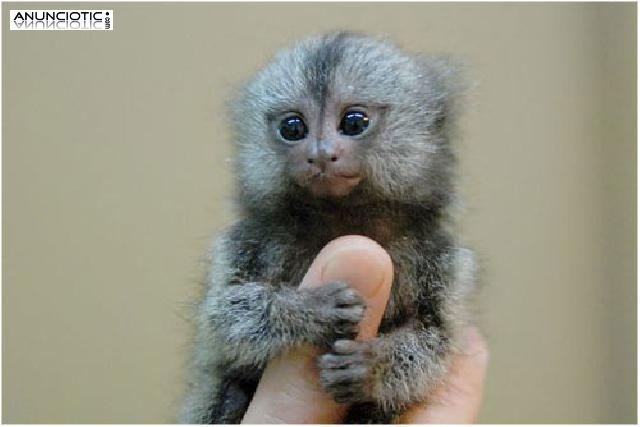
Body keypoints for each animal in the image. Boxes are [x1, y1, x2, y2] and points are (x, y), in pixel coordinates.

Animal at [180, 32, 476, 424]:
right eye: (293, 128)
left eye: (354, 122)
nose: (320, 154)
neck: (340, 217)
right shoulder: (240, 244)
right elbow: (224, 317)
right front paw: (310, 309)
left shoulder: (444, 259)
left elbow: (435, 338)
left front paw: (370, 368)